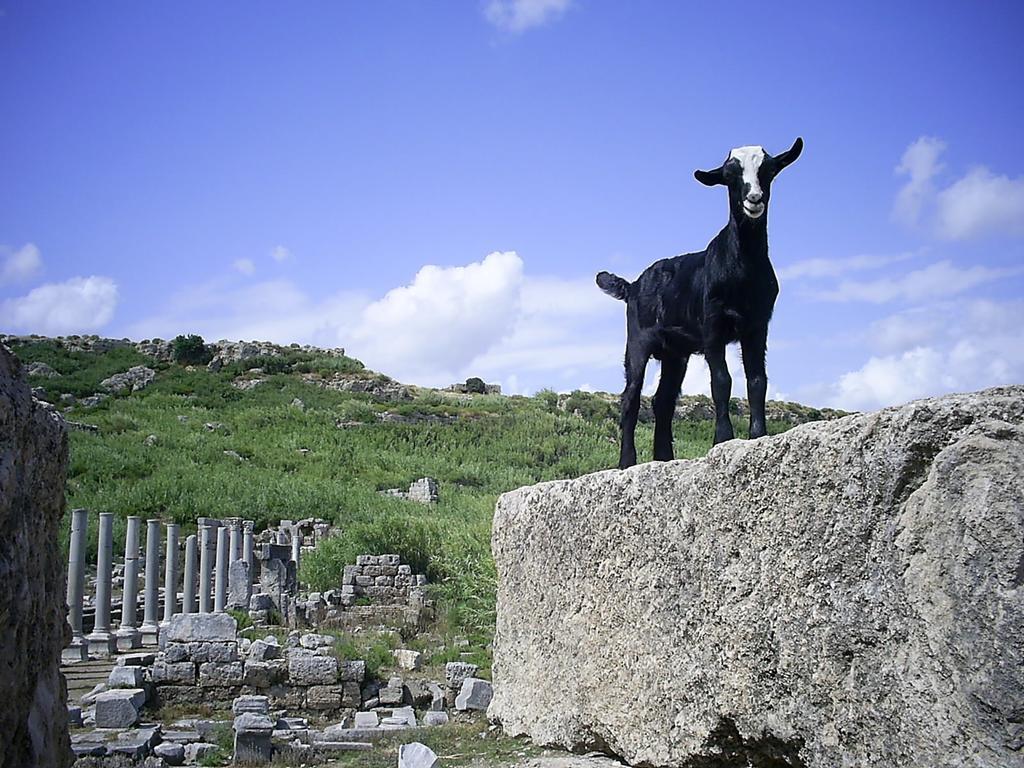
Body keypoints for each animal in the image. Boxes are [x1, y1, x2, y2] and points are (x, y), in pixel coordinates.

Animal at [598, 138, 802, 468]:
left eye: (769, 170)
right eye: (730, 176)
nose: (754, 199)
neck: (741, 268)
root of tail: (632, 286)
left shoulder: (757, 325)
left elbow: (757, 380)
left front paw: (758, 435)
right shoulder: (712, 326)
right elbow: (721, 380)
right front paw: (723, 438)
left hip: (675, 352)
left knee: (663, 400)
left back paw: (664, 458)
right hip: (637, 341)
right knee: (631, 396)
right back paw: (627, 461)